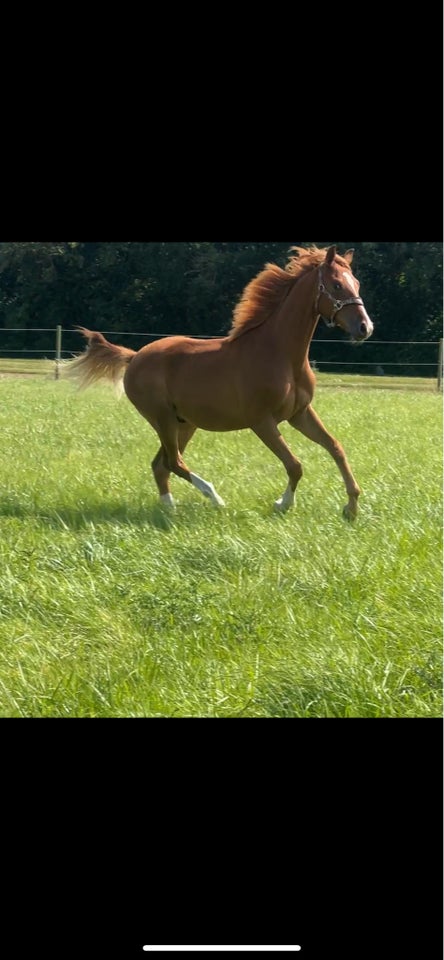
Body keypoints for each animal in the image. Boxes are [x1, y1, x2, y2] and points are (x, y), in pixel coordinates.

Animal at [64, 244, 372, 520]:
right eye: (336, 285)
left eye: (356, 283)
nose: (365, 328)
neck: (281, 354)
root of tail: (134, 356)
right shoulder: (262, 421)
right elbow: (295, 465)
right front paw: (282, 504)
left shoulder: (300, 414)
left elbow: (336, 448)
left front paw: (351, 508)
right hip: (162, 419)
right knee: (173, 462)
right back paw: (215, 499)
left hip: (184, 423)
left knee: (161, 465)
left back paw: (169, 509)